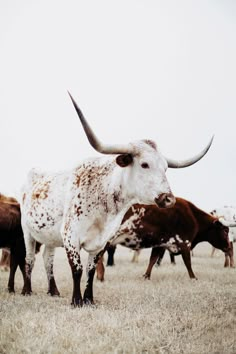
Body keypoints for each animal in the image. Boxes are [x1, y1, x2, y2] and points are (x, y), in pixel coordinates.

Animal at [19, 92, 212, 306]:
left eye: (165, 168)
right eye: (144, 164)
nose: (169, 199)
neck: (103, 200)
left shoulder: (101, 242)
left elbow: (91, 270)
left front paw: (89, 300)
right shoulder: (71, 237)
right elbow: (77, 270)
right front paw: (76, 301)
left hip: (50, 237)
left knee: (48, 259)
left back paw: (53, 291)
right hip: (27, 231)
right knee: (30, 259)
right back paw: (26, 290)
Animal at [96, 198, 230, 280]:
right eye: (225, 230)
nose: (228, 246)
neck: (194, 217)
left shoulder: (160, 244)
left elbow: (153, 259)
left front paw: (146, 276)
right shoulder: (184, 243)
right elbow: (188, 262)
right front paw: (193, 278)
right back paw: (100, 276)